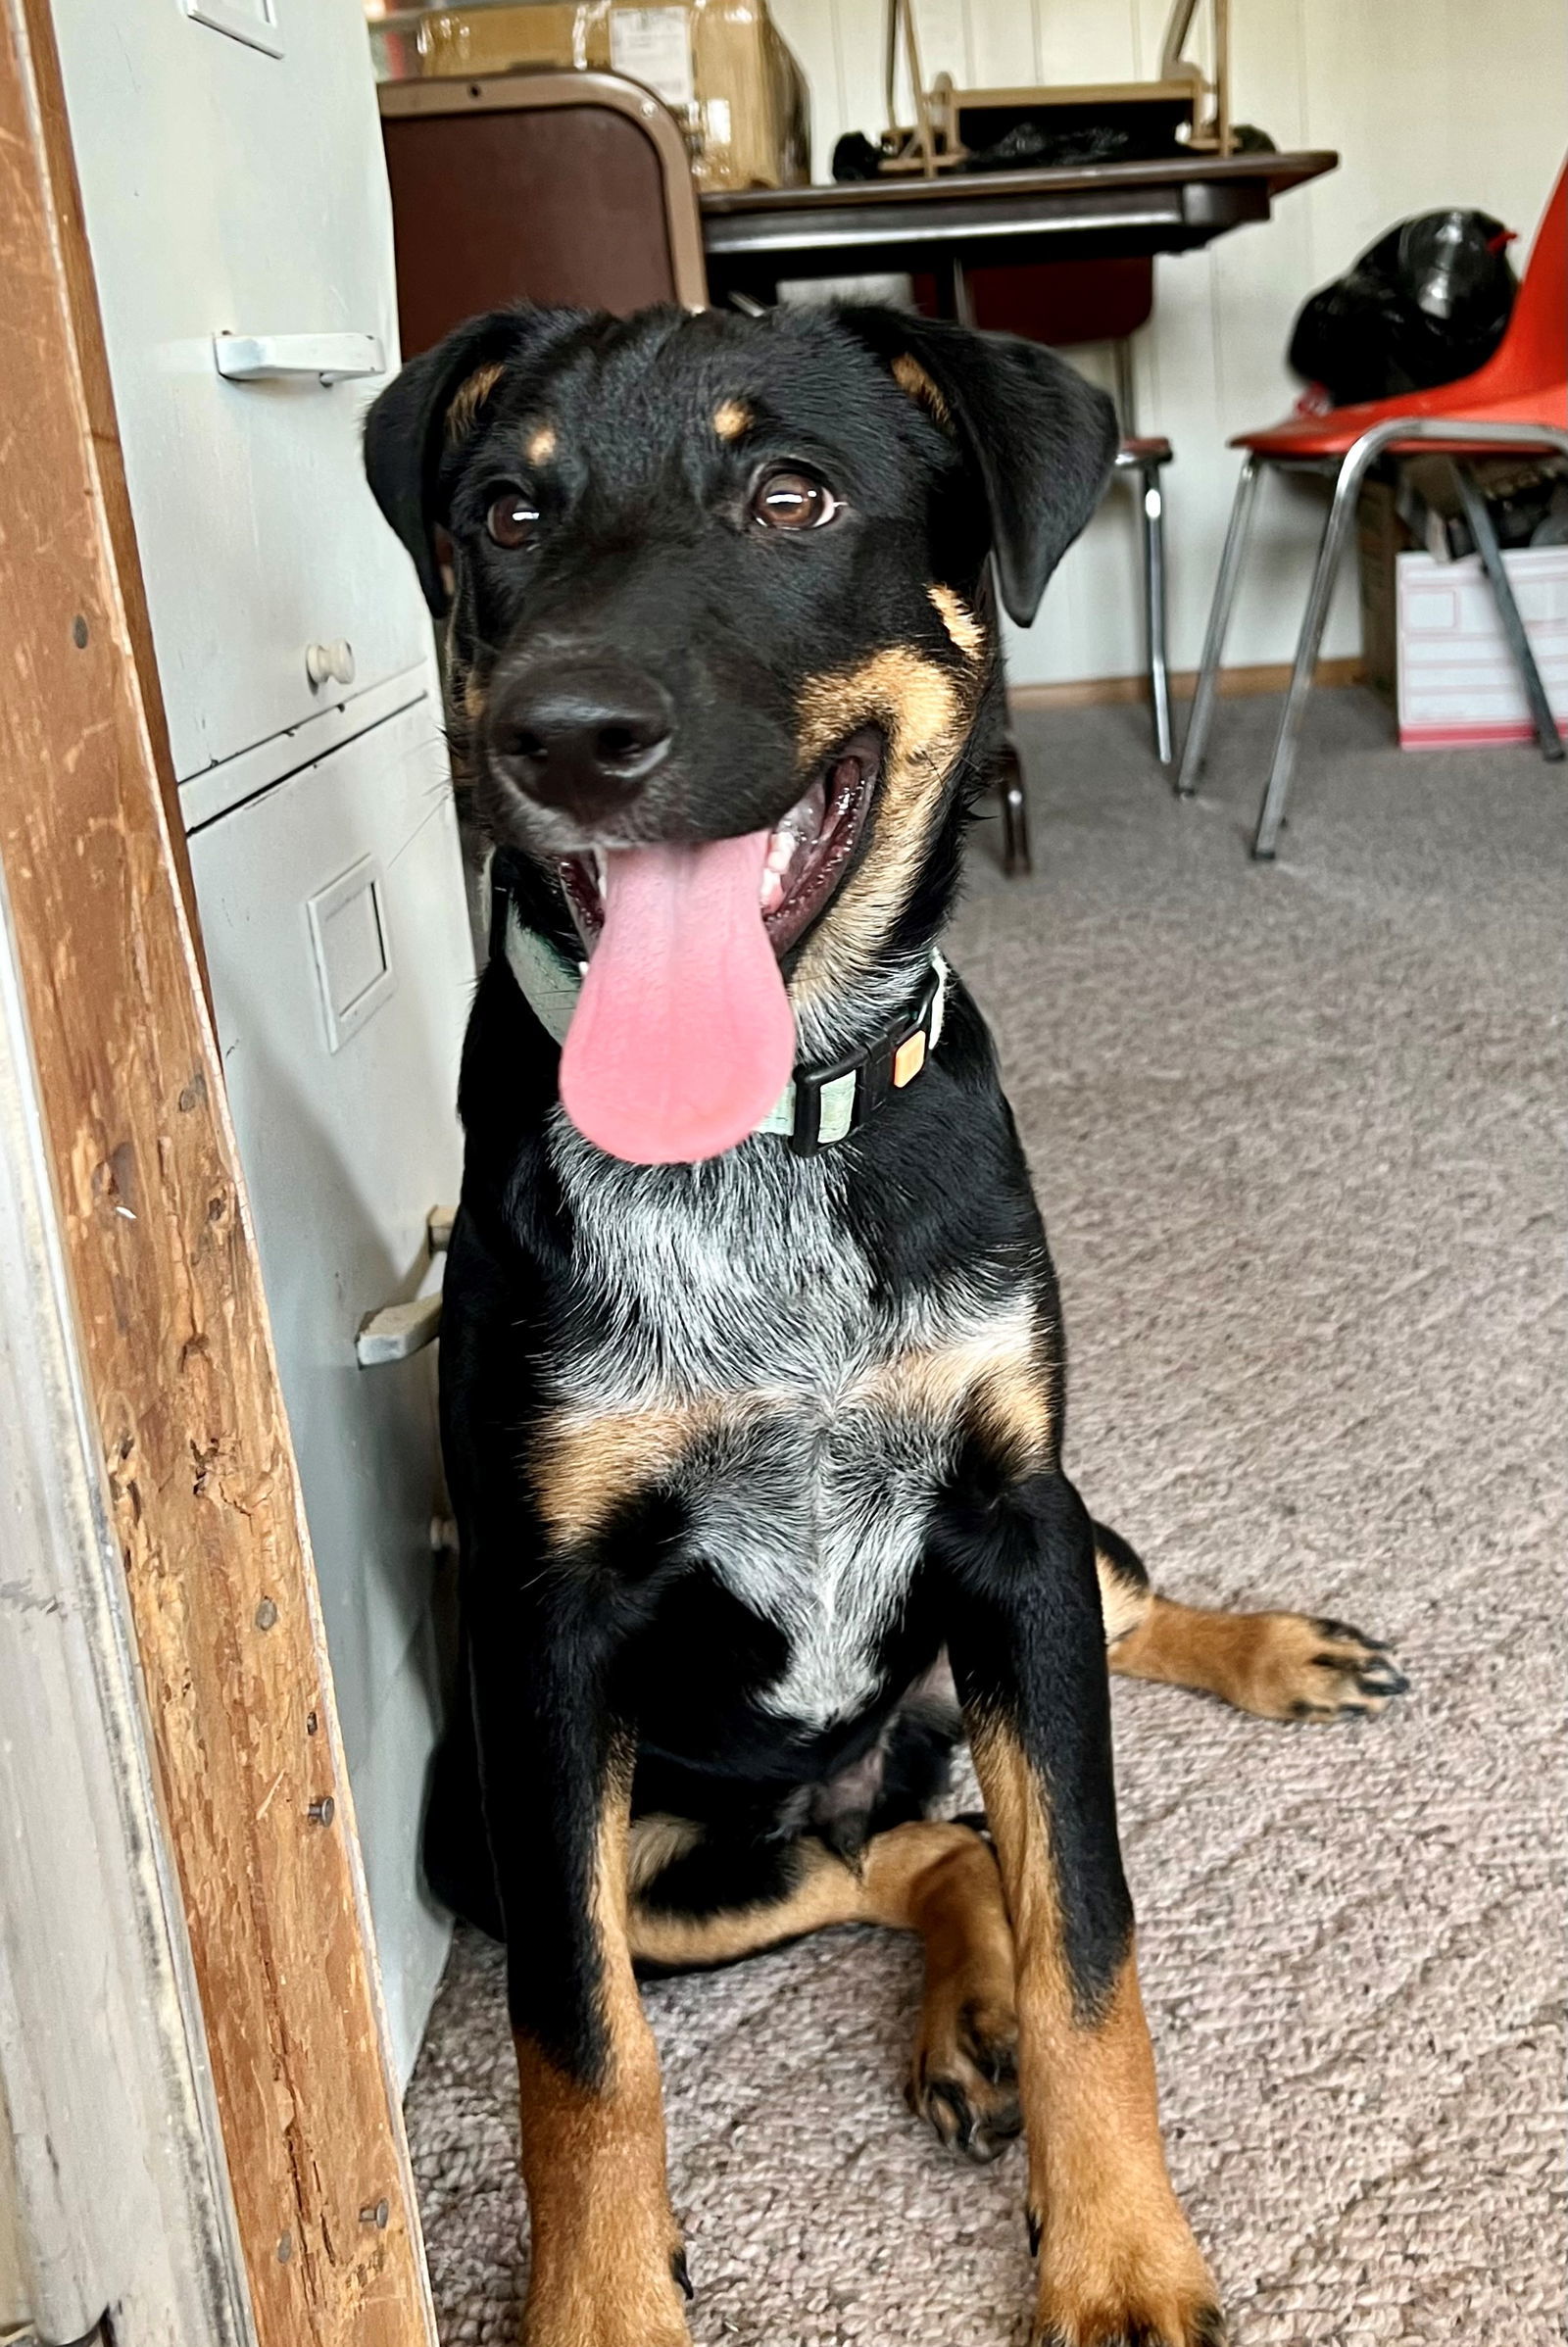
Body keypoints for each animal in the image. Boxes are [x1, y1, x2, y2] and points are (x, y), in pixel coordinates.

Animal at [368, 298, 1408, 2347]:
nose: (564, 737)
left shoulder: (1005, 1525)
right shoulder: (545, 1645)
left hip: (1033, 1577)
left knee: (1087, 1666)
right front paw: (599, 2305)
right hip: (551, 1828)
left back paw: (1266, 1659)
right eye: (508, 510)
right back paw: (957, 2006)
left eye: (793, 497)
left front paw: (1121, 2261)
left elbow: (1092, 1934)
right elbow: (575, 2046)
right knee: (902, 1854)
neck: (766, 1129)